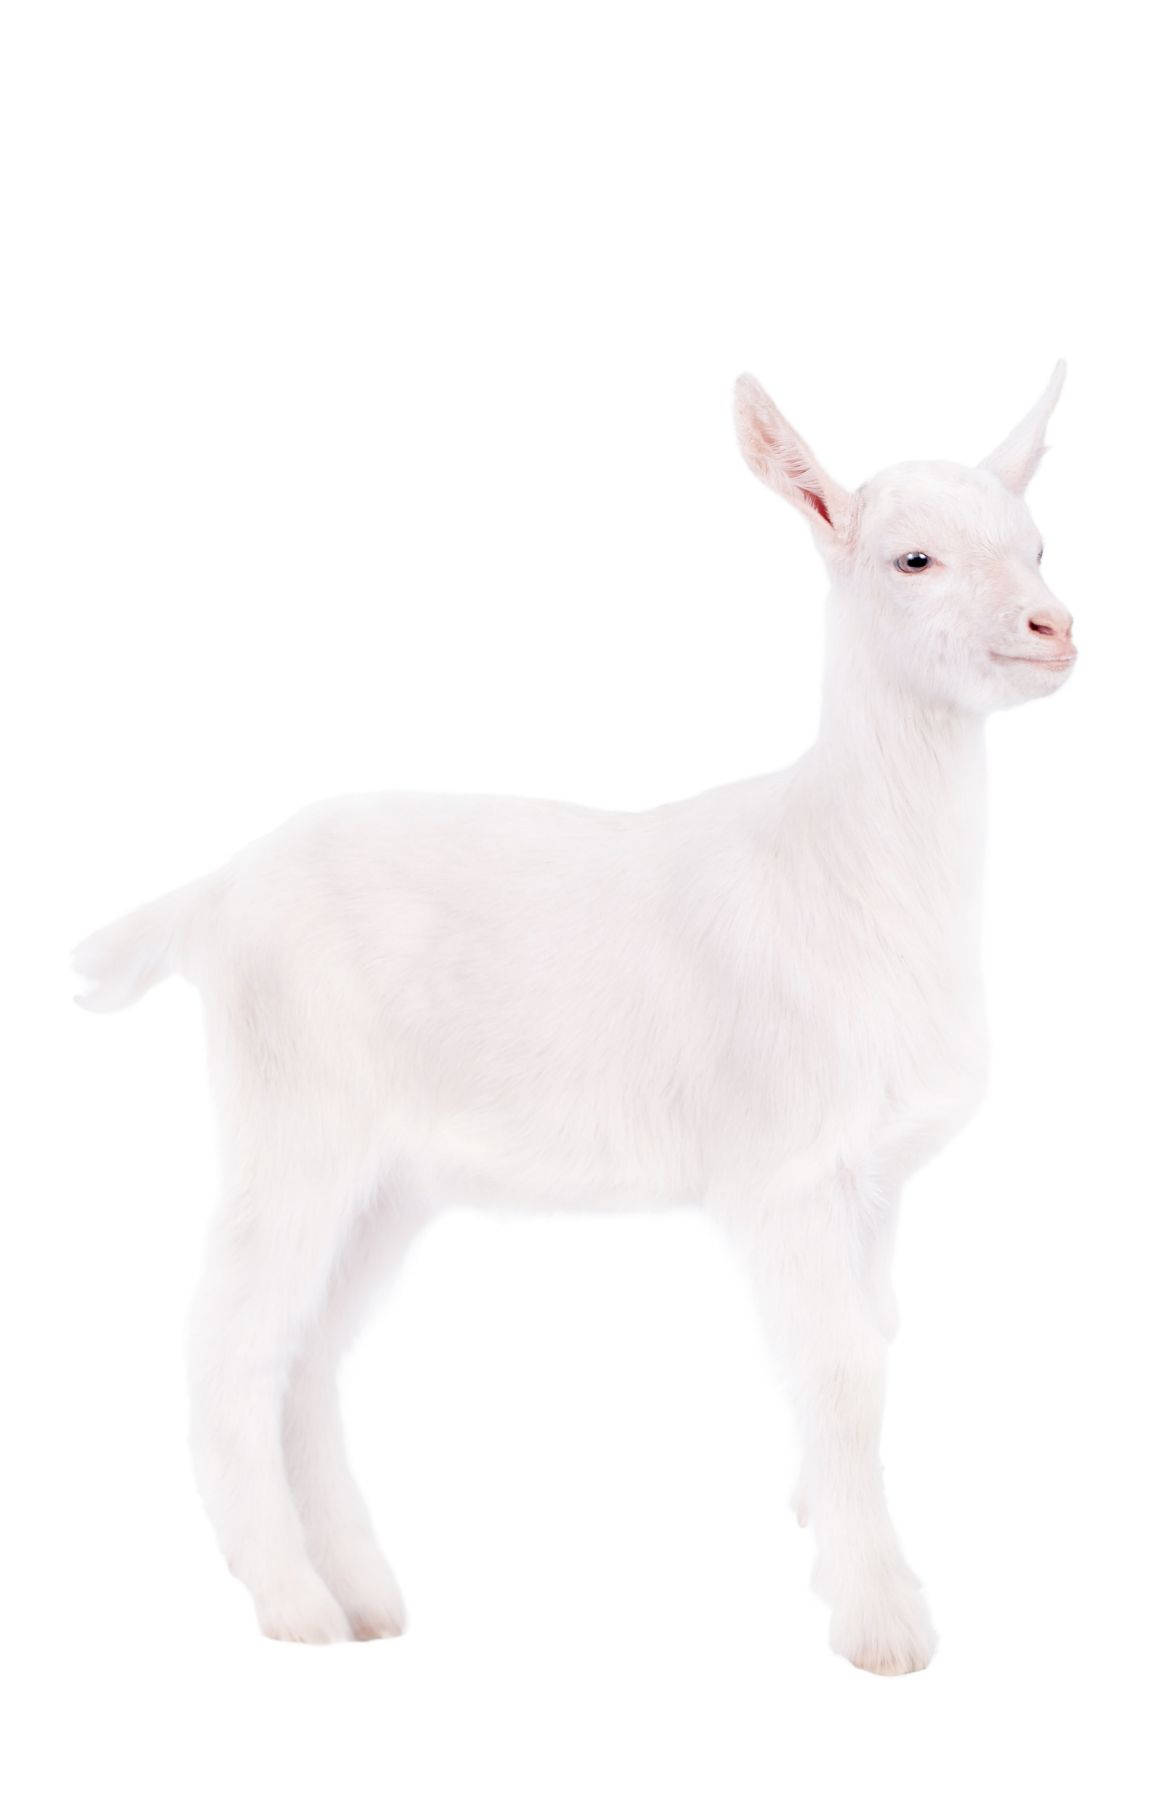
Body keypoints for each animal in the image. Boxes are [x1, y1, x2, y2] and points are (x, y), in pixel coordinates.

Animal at [74, 366, 1074, 1673]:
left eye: (1039, 544)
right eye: (912, 558)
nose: (1055, 630)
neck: (840, 865)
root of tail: (212, 892)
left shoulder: (873, 1180)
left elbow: (879, 1346)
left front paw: (830, 1536)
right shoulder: (783, 1167)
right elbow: (845, 1374)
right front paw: (882, 1621)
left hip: (389, 1182)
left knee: (309, 1354)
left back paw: (363, 1597)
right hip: (292, 1118)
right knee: (229, 1342)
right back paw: (292, 1606)